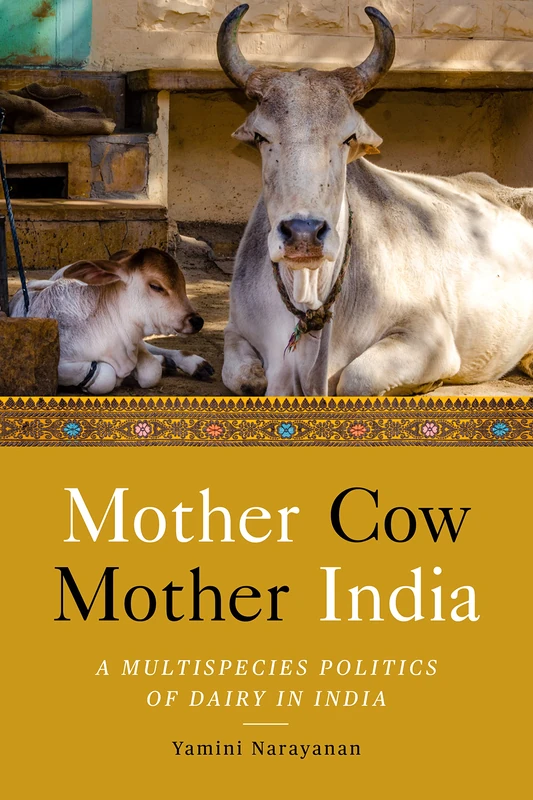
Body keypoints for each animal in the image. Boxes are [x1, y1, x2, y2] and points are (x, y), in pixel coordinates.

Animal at [9, 248, 214, 394]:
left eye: (183, 282)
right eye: (156, 286)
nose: (196, 321)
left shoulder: (134, 342)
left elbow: (151, 370)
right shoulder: (56, 365)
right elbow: (104, 376)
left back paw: (193, 364)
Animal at [217, 4, 533, 396]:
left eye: (348, 137)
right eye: (261, 136)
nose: (303, 234)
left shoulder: (429, 336)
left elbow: (355, 380)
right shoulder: (236, 329)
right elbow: (245, 378)